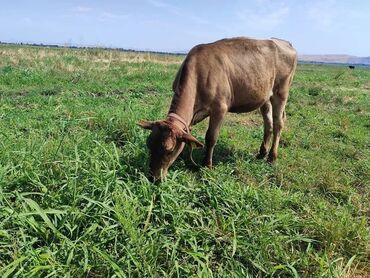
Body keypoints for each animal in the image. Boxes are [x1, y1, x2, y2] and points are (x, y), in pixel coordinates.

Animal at [139, 37, 298, 180]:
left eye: (169, 150)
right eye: (149, 144)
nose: (153, 178)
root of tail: (284, 42)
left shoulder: (220, 108)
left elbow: (211, 137)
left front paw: (207, 165)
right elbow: (188, 133)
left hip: (281, 92)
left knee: (278, 123)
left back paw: (272, 157)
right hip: (265, 95)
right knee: (268, 122)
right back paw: (261, 153)